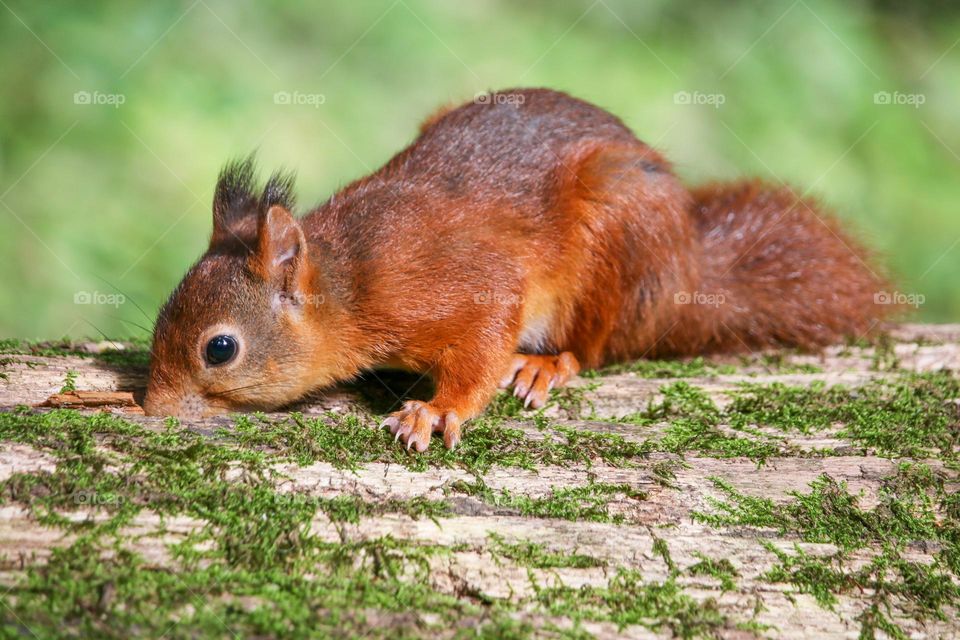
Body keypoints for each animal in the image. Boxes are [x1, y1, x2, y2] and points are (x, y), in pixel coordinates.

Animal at [144, 88, 894, 451]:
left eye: (220, 349)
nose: (151, 408)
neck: (349, 279)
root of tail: (686, 271)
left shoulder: (463, 286)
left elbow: (484, 341)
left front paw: (438, 411)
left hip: (618, 243)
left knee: (597, 346)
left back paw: (547, 364)